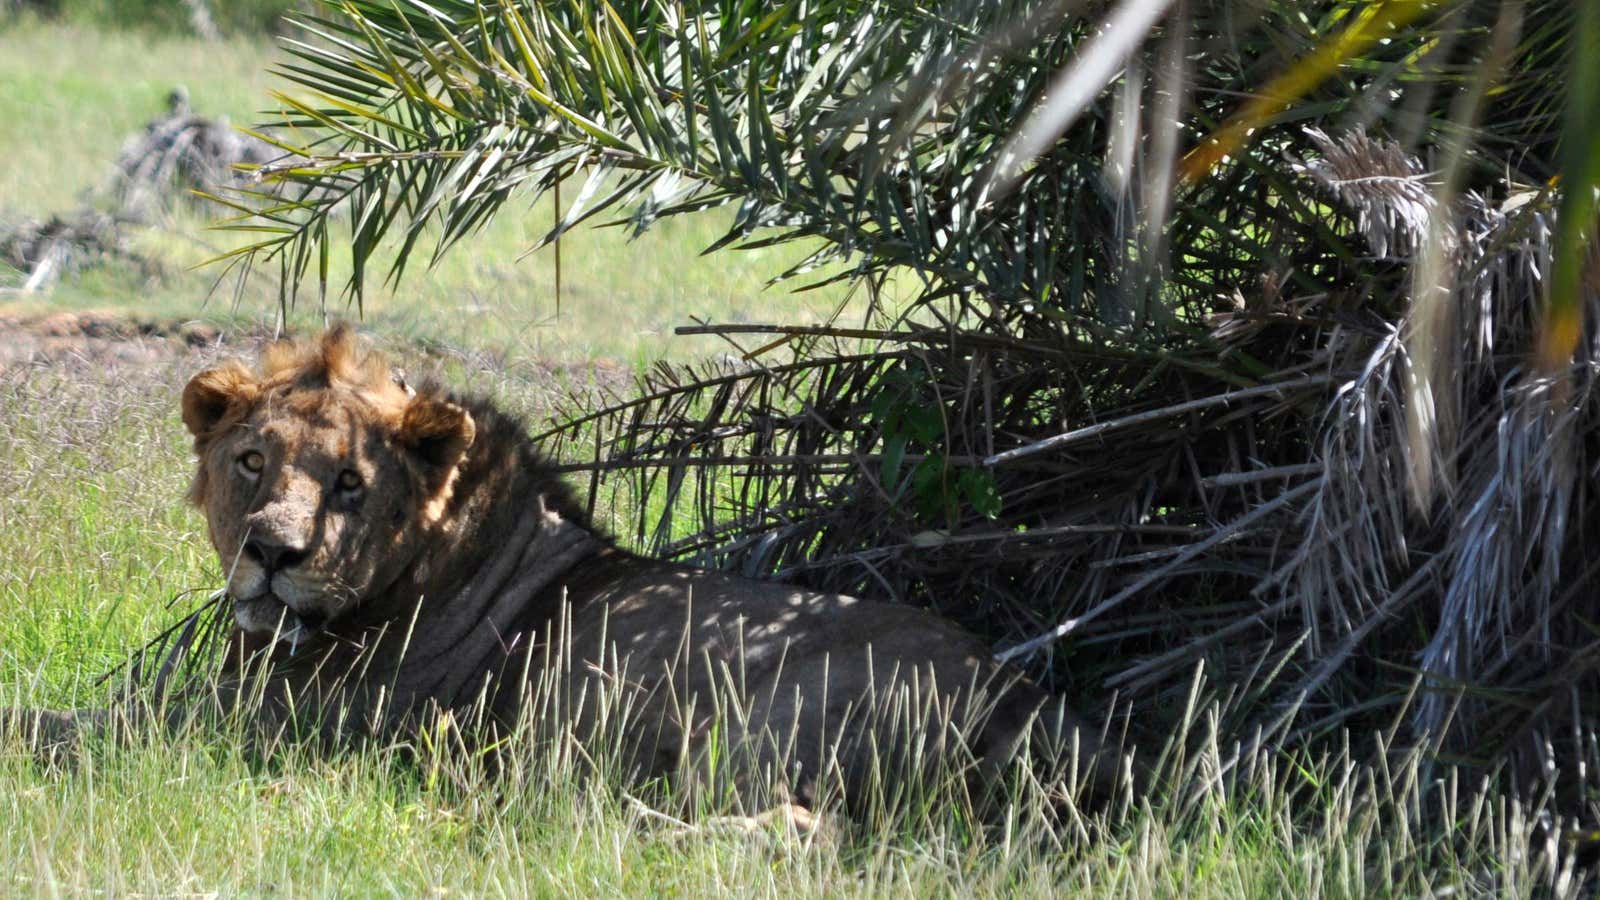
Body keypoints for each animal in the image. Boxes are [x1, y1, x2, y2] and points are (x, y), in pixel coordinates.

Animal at [3, 325, 1126, 816]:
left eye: (350, 483)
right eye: (252, 463)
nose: (272, 554)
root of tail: (1032, 701)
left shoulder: (271, 730)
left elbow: (85, 727)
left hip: (754, 722)